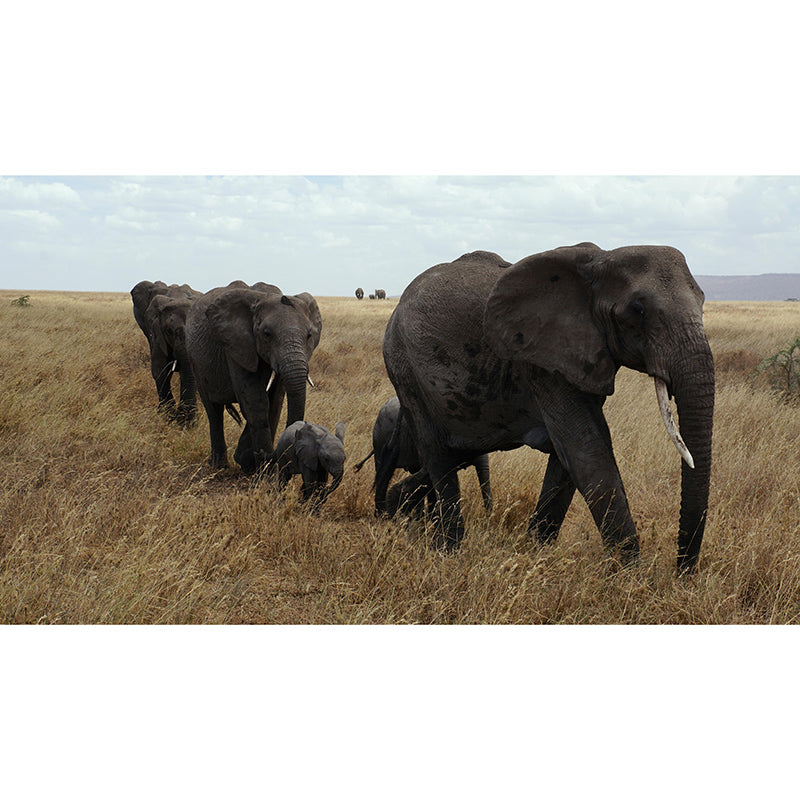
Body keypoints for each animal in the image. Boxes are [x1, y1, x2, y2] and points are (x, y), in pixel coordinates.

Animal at [185, 281, 322, 474]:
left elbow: (275, 402)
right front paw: (264, 472)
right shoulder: (236, 346)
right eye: (267, 334)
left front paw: (249, 462)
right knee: (214, 411)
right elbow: (256, 402)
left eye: (309, 336)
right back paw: (219, 467)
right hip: (195, 361)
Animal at [382, 244, 715, 573]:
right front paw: (631, 576)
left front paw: (535, 552)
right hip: (405, 371)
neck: (603, 258)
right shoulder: (543, 363)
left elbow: (569, 458)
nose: (682, 574)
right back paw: (449, 550)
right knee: (438, 456)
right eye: (637, 310)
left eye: (702, 301)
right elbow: (587, 452)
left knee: (452, 456)